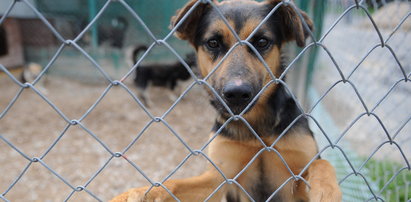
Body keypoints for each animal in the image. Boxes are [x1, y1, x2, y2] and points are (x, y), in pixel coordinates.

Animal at [112, 0, 342, 201]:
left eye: (262, 42)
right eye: (213, 43)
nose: (237, 93)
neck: (256, 127)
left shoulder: (296, 176)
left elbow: (322, 164)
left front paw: (327, 189)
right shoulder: (219, 178)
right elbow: (172, 185)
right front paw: (134, 194)